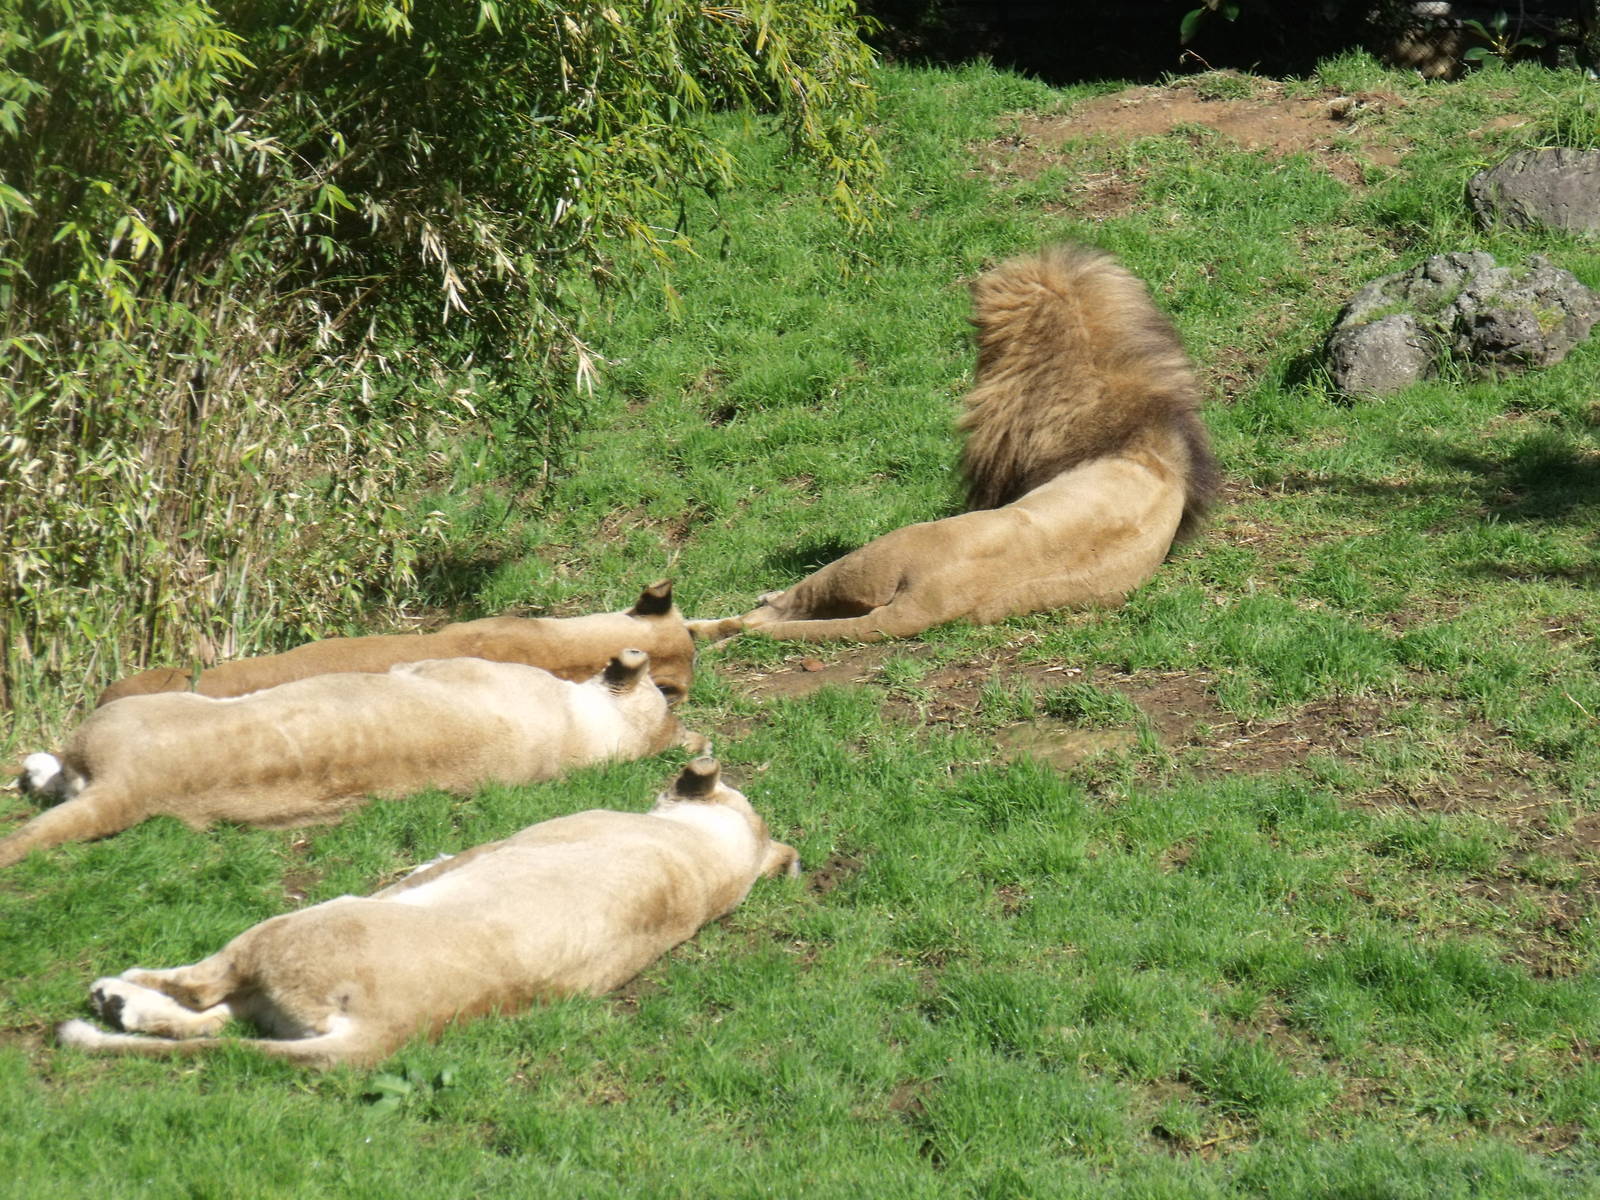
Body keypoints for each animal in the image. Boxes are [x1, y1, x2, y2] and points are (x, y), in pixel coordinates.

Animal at [57, 757, 798, 1068]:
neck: (710, 862)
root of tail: (385, 1034)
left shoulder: (496, 846)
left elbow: (432, 866)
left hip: (298, 928)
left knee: (201, 989)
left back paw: (114, 992)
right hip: (282, 1004)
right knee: (210, 1025)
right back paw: (121, 1006)